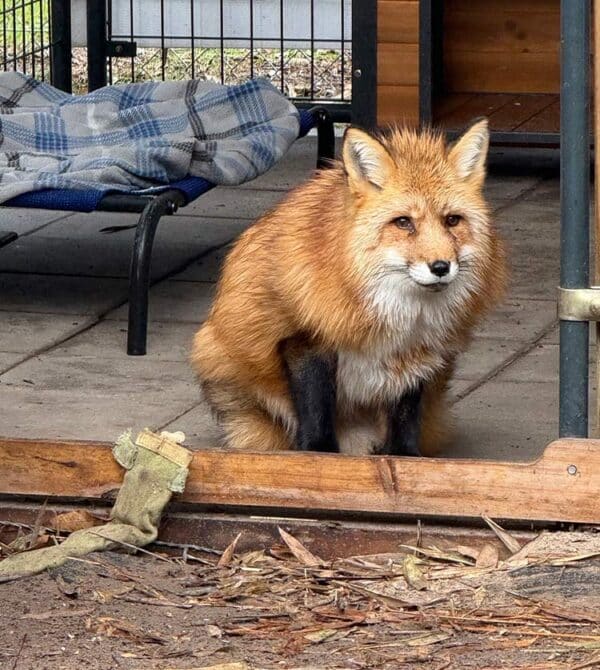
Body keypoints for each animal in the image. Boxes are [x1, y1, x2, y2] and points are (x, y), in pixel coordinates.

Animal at [191, 118, 507, 456]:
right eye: (403, 222)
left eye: (452, 220)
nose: (440, 267)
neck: (400, 313)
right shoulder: (306, 339)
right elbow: (317, 415)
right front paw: (318, 456)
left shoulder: (417, 356)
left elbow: (405, 421)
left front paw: (406, 458)